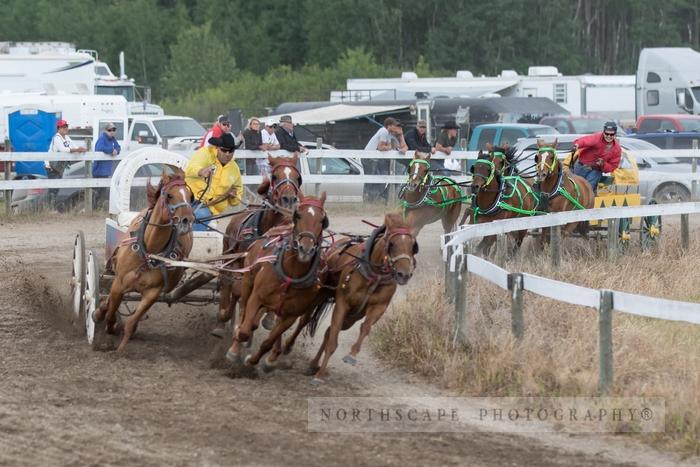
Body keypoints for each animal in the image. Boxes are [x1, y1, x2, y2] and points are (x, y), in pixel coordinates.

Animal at [212, 155, 302, 338]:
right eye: (274, 176)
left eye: (298, 177)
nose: (289, 199)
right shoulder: (242, 265)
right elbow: (236, 290)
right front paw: (226, 316)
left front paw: (268, 319)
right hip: (228, 255)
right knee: (226, 281)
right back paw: (221, 321)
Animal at [227, 192, 330, 372]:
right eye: (298, 215)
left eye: (322, 220)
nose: (306, 248)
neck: (291, 274)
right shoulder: (256, 297)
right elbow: (244, 330)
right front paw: (235, 348)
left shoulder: (291, 315)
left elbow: (268, 341)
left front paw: (255, 361)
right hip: (247, 280)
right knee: (243, 308)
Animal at [306, 212, 416, 384]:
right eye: (391, 244)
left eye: (413, 246)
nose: (404, 274)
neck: (375, 276)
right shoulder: (342, 304)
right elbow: (332, 342)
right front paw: (319, 376)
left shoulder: (378, 307)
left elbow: (365, 327)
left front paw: (351, 355)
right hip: (332, 301)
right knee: (322, 328)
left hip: (352, 317)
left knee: (329, 332)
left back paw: (314, 364)